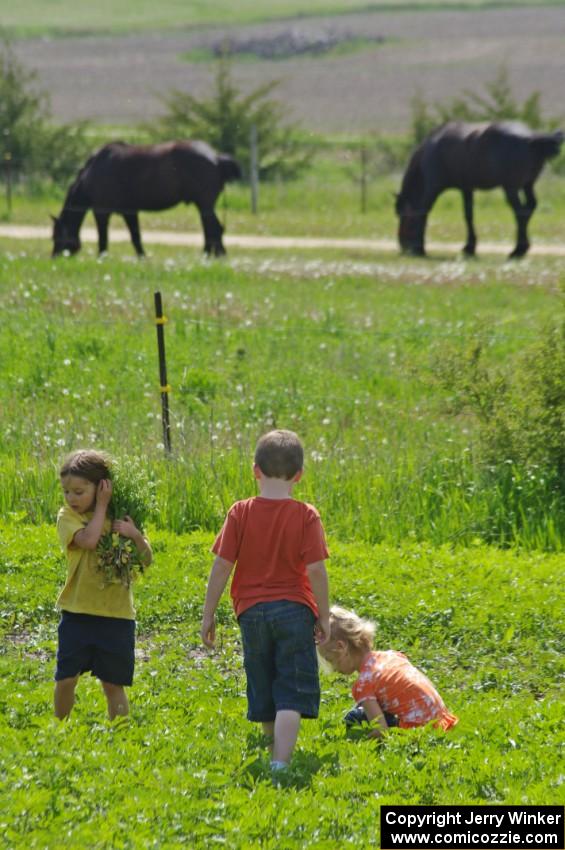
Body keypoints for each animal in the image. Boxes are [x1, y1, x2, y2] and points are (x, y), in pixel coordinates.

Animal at [54, 140, 243, 255]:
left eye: (56, 237)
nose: (55, 256)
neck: (92, 173)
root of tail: (216, 158)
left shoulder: (101, 212)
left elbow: (103, 238)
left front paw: (102, 257)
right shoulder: (129, 211)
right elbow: (135, 236)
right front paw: (142, 258)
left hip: (204, 205)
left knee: (214, 228)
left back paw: (210, 255)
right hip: (204, 206)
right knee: (213, 229)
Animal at [394, 121, 560, 256]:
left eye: (403, 217)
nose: (403, 246)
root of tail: (531, 139)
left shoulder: (432, 187)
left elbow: (423, 212)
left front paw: (420, 248)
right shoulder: (467, 188)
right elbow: (468, 215)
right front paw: (470, 247)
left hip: (511, 188)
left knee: (520, 212)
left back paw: (517, 250)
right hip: (527, 185)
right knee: (530, 206)